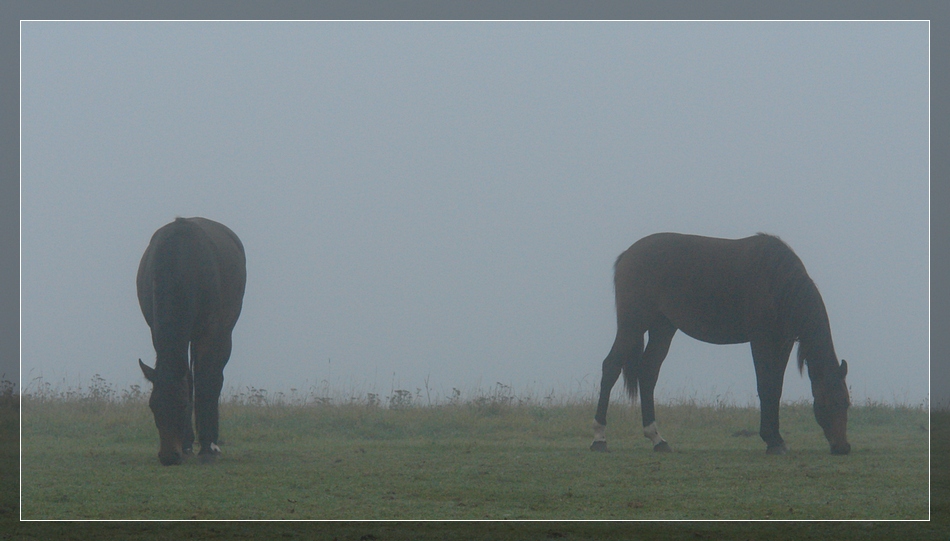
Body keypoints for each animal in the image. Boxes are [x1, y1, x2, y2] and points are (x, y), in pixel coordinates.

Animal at [139, 216, 249, 464]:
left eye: (181, 406)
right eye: (152, 406)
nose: (169, 456)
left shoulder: (210, 332)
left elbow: (206, 382)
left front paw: (207, 446)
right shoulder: (156, 332)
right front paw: (188, 444)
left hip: (222, 333)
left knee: (214, 378)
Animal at [592, 232, 852, 456]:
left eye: (847, 402)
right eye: (829, 403)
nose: (842, 447)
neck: (777, 281)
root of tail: (628, 254)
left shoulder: (783, 342)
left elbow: (775, 387)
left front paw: (776, 439)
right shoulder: (761, 339)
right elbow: (765, 386)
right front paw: (771, 439)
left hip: (663, 327)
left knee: (648, 373)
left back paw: (657, 439)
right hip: (633, 324)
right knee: (611, 367)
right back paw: (599, 438)